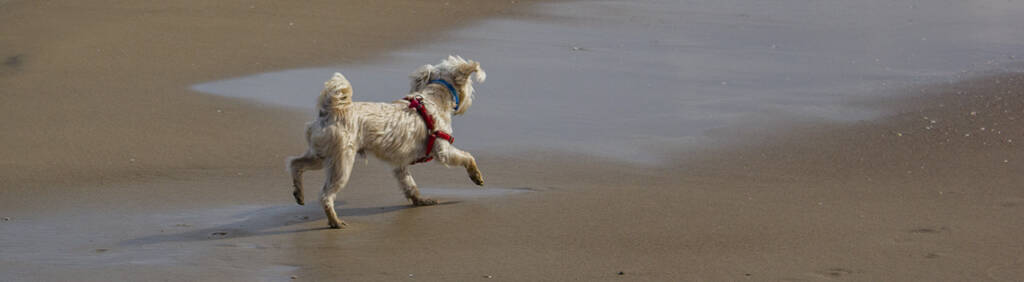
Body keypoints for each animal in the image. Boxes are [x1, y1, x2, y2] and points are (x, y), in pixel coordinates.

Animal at [284, 55, 483, 229]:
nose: (470, 100)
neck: (433, 100)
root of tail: (330, 110)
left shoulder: (399, 164)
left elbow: (409, 184)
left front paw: (420, 200)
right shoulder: (443, 151)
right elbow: (467, 157)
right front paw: (476, 175)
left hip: (321, 155)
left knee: (295, 163)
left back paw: (298, 192)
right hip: (341, 163)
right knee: (325, 195)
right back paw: (334, 221)